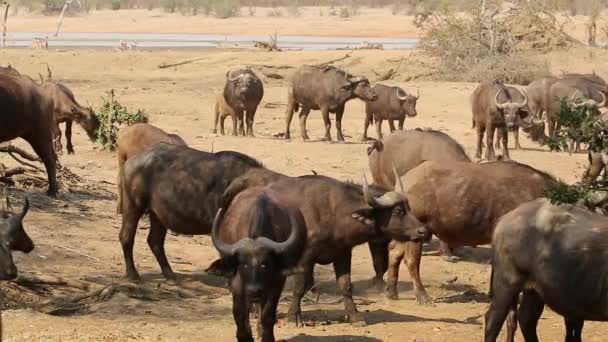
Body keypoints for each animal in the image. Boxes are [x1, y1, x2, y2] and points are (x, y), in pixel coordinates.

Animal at [119, 144, 284, 280]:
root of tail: (131, 161)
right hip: (133, 206)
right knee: (126, 236)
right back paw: (133, 274)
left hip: (158, 215)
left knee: (155, 241)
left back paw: (170, 274)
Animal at [214, 187, 308, 342]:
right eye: (243, 265)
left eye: (265, 265)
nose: (254, 290)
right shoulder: (237, 281)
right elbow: (239, 313)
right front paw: (244, 336)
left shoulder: (277, 281)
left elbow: (268, 314)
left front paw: (266, 336)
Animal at [384, 160, 560, 302]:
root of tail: (405, 181)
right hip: (416, 236)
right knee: (411, 262)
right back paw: (422, 296)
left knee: (395, 255)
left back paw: (392, 292)